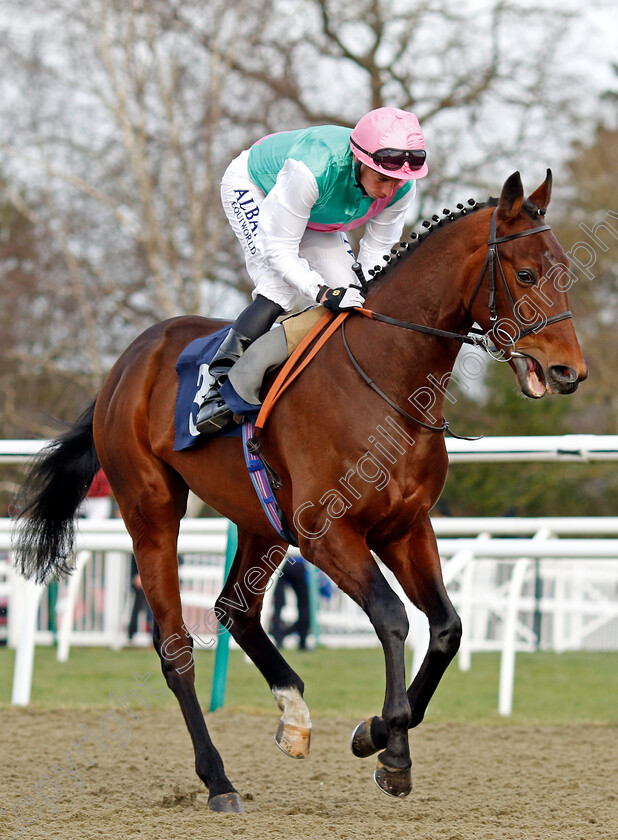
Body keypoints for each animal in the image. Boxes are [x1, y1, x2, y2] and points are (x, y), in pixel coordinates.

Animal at [12, 169, 584, 812]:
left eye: (563, 270)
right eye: (526, 274)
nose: (567, 371)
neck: (388, 379)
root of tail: (129, 359)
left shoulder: (406, 527)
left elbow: (447, 629)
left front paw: (372, 732)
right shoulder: (325, 531)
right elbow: (392, 617)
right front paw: (391, 749)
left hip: (260, 521)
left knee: (236, 610)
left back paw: (294, 715)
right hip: (150, 508)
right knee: (175, 645)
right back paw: (218, 780)